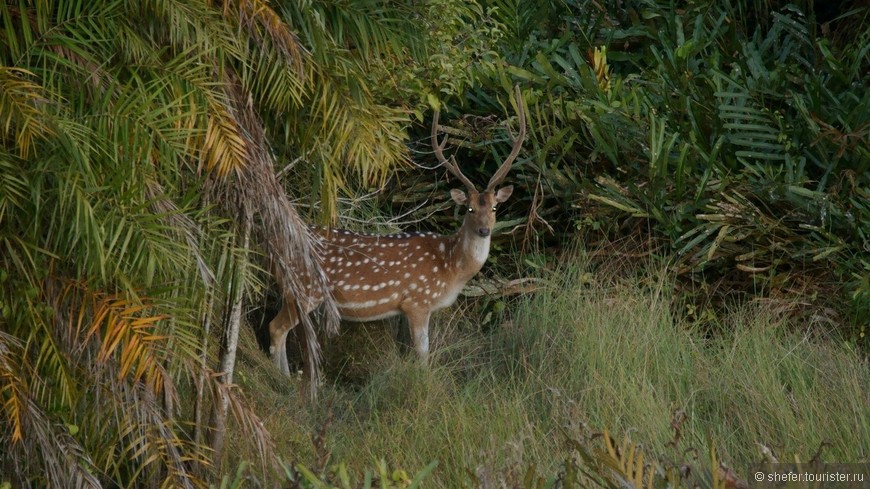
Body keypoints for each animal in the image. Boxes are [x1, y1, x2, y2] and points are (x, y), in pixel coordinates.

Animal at [268, 86, 524, 374]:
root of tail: (273, 248)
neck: (451, 268)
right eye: (468, 208)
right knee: (276, 328)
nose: (483, 230)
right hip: (304, 288)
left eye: (494, 208)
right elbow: (422, 354)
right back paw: (283, 378)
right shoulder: (417, 300)